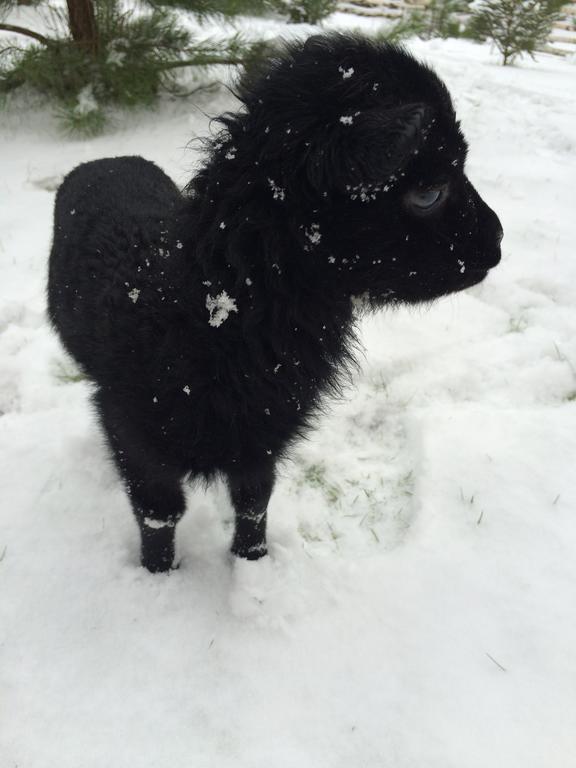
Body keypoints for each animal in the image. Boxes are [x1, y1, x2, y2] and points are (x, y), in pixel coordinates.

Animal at [47, 33, 502, 572]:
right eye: (429, 191)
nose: (498, 240)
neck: (205, 315)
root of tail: (107, 159)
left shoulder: (263, 439)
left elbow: (254, 501)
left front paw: (253, 564)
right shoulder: (135, 436)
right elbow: (159, 515)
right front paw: (158, 576)